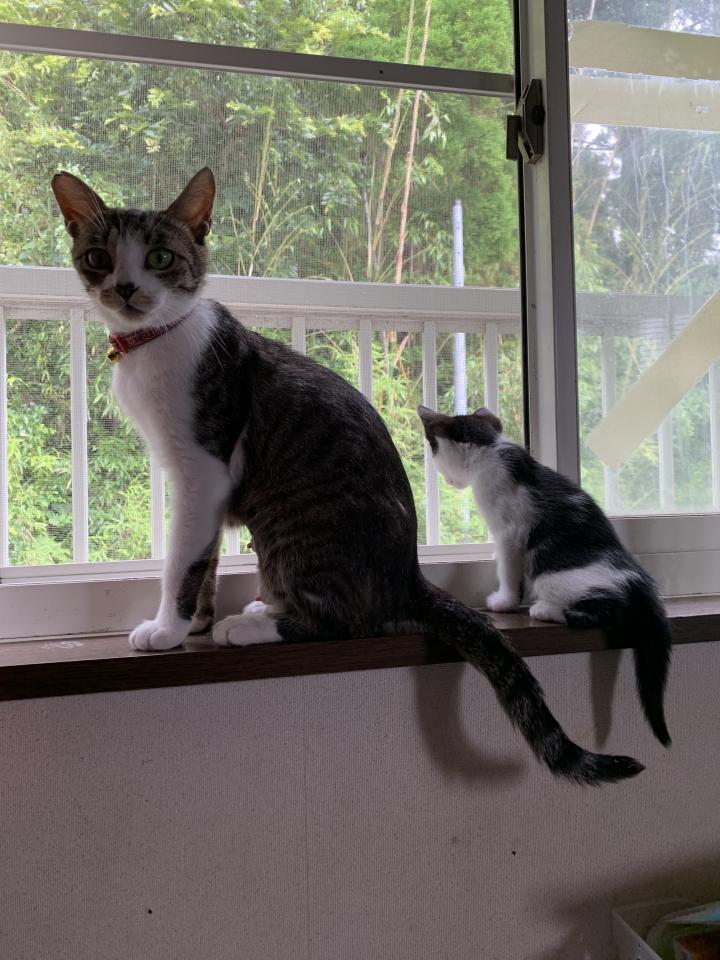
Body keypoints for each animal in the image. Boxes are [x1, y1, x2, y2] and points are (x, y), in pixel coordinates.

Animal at [52, 166, 645, 784]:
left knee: (349, 620)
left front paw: (167, 629)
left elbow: (182, 561)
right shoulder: (196, 482)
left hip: (292, 528)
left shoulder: (202, 468)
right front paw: (192, 623)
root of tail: (406, 577)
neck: (157, 342)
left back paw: (252, 626)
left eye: (161, 257)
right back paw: (264, 608)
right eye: (98, 257)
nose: (125, 288)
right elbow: (205, 556)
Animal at [417, 404, 672, 747]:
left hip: (553, 577)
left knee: (601, 608)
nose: (446, 479)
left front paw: (505, 602)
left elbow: (508, 568)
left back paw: (545, 610)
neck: (490, 450)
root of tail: (636, 576)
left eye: (434, 450)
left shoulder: (510, 532)